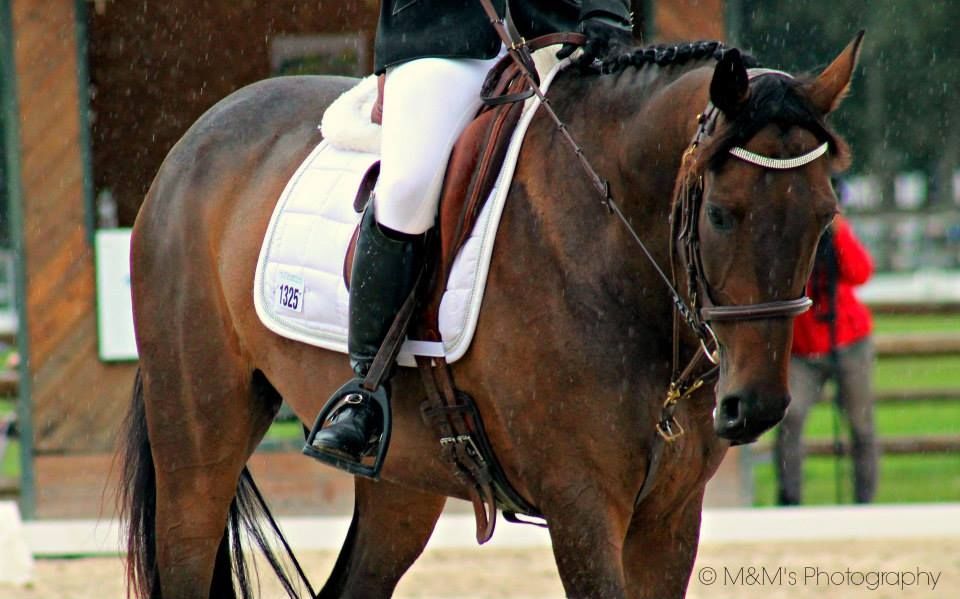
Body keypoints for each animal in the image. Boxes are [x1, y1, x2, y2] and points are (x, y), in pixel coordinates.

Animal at [120, 33, 863, 598]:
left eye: (825, 217)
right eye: (720, 215)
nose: (754, 407)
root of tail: (195, 139)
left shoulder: (671, 515)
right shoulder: (582, 505)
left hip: (402, 476)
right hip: (198, 443)